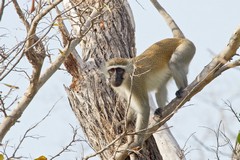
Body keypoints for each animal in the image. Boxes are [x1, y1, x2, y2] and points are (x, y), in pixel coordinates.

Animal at [103, 1, 195, 149]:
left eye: (120, 70)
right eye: (112, 70)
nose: (114, 78)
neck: (126, 78)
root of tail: (179, 39)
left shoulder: (134, 84)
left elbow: (144, 108)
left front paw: (137, 141)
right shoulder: (119, 88)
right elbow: (131, 105)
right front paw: (126, 121)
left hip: (187, 49)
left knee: (174, 63)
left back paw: (184, 89)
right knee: (159, 89)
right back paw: (161, 109)